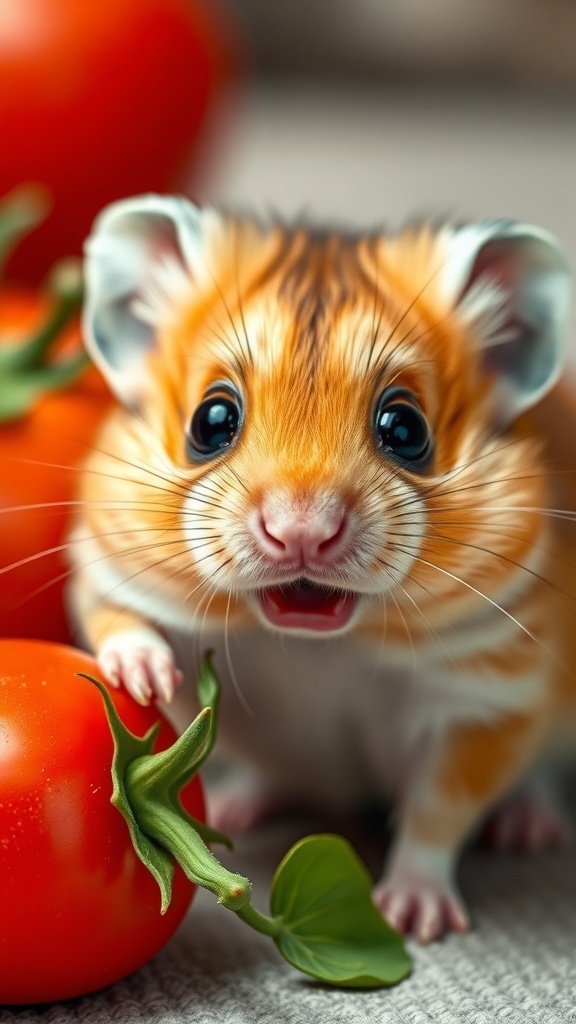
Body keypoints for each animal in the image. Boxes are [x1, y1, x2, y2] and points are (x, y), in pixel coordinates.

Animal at [67, 194, 575, 943]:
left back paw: (529, 831)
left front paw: (414, 920)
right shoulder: (107, 568)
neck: (313, 645)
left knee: (534, 781)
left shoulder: (486, 699)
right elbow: (117, 619)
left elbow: (438, 812)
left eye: (406, 430)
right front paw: (146, 676)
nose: (300, 531)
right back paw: (239, 804)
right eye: (210, 420)